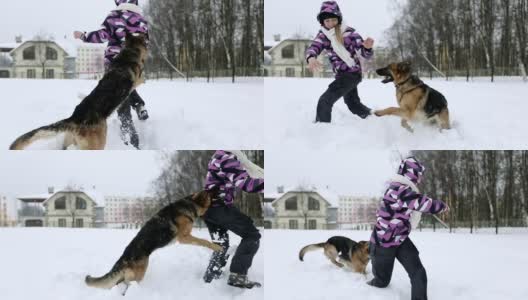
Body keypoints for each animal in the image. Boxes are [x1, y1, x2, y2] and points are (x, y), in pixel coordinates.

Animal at [8, 31, 147, 150]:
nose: (147, 34)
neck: (129, 51)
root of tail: (75, 118)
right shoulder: (137, 80)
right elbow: (142, 78)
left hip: (70, 140)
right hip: (97, 144)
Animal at [84, 191, 223, 294]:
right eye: (210, 191)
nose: (218, 188)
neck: (190, 204)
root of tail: (124, 258)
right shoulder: (184, 237)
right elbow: (203, 241)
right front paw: (217, 247)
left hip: (131, 274)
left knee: (119, 283)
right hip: (139, 274)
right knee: (127, 284)